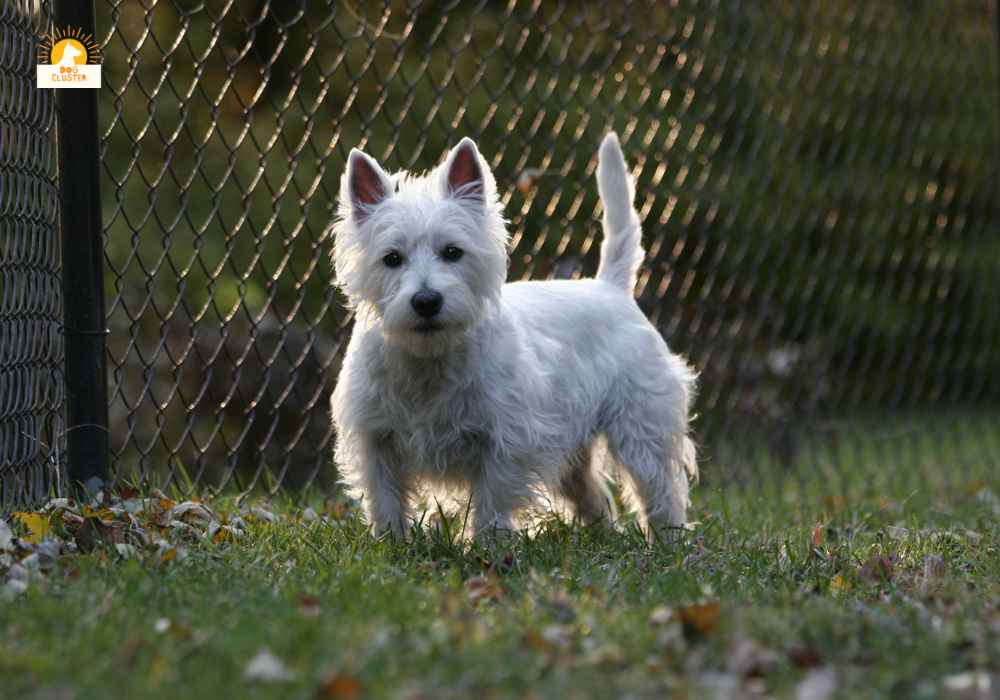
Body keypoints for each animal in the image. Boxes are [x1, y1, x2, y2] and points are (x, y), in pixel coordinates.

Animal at [330, 134, 696, 540]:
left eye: (453, 252)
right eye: (391, 258)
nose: (426, 301)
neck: (429, 359)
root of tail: (610, 287)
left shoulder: (506, 439)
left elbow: (492, 500)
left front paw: (488, 545)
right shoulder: (375, 439)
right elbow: (385, 501)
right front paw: (393, 544)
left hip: (641, 427)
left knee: (660, 489)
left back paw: (669, 541)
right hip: (576, 451)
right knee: (594, 495)